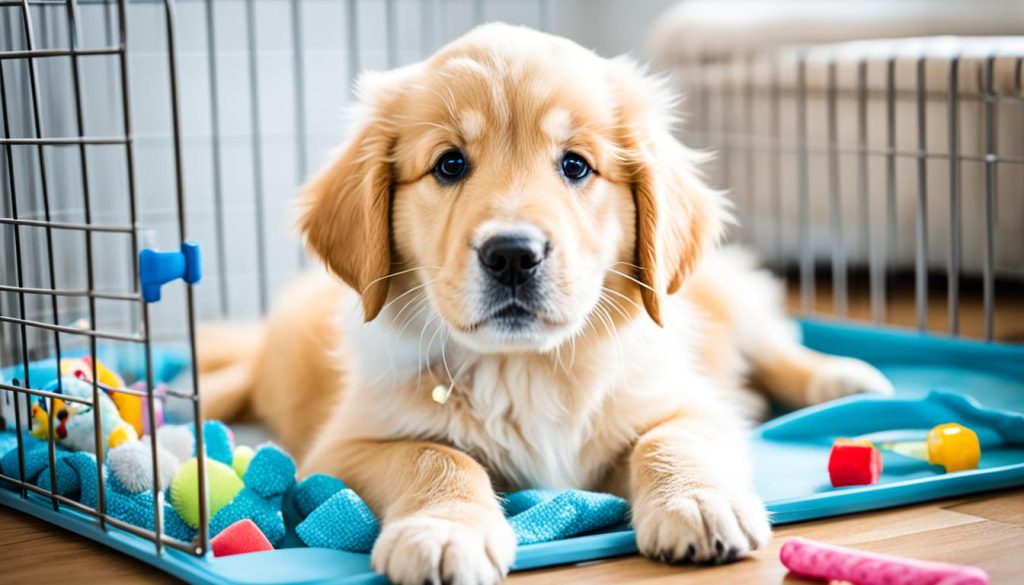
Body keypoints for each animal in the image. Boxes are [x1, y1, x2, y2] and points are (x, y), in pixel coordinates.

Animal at [197, 22, 888, 585]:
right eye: (449, 165)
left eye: (576, 166)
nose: (512, 254)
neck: (525, 366)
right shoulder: (348, 444)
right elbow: (435, 455)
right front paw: (444, 530)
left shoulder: (686, 400)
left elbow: (670, 439)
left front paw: (695, 502)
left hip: (720, 292)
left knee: (774, 342)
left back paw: (843, 378)